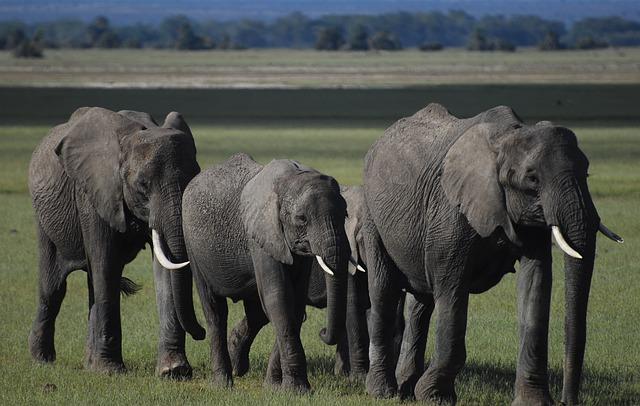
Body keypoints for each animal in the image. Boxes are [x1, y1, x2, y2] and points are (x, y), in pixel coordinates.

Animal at [28, 107, 205, 378]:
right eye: (143, 185)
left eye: (193, 179)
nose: (202, 333)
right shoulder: (94, 194)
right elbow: (106, 265)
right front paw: (110, 371)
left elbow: (164, 270)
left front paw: (173, 371)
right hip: (44, 218)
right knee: (54, 288)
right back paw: (43, 360)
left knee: (92, 285)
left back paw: (88, 364)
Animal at [180, 153, 350, 394]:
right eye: (302, 219)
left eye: (345, 214)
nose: (322, 331)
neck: (290, 179)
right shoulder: (262, 234)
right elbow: (279, 298)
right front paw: (297, 391)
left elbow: (294, 305)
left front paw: (274, 388)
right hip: (193, 246)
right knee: (215, 311)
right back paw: (223, 384)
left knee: (256, 313)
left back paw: (237, 364)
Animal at [362, 103, 624, 404]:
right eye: (532, 178)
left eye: (587, 174)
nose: (566, 401)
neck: (507, 138)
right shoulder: (451, 211)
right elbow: (452, 292)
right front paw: (436, 397)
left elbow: (536, 284)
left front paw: (533, 402)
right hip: (373, 215)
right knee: (384, 290)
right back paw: (383, 392)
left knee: (421, 302)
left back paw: (406, 389)